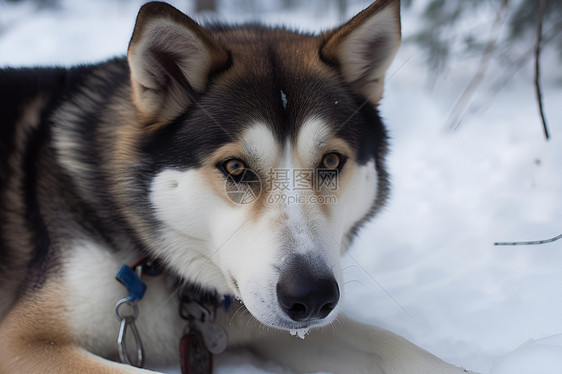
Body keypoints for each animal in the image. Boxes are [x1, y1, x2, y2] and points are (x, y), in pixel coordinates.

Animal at [0, 0, 474, 374]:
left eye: (331, 162)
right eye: (235, 167)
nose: (312, 297)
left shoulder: (266, 319)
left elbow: (390, 343)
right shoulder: (24, 341)